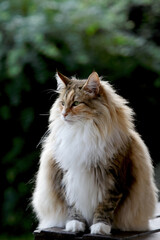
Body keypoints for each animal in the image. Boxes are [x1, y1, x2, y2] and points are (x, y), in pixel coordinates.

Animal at [31, 71, 158, 234]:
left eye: (76, 103)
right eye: (62, 103)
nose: (64, 114)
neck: (83, 131)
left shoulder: (114, 179)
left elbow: (106, 206)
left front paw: (100, 227)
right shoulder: (66, 176)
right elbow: (73, 206)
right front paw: (75, 224)